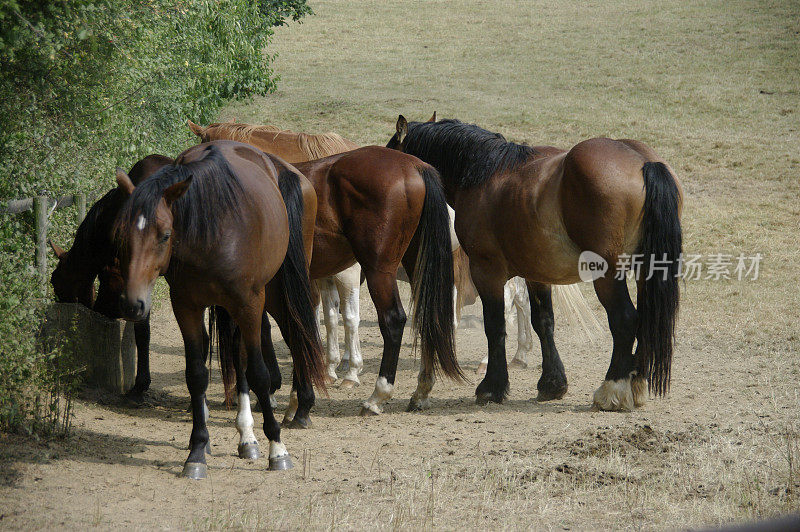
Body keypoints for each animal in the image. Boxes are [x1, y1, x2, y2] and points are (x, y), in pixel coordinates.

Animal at [111, 140, 324, 478]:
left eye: (165, 235)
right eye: (121, 235)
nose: (133, 303)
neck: (213, 230)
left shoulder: (249, 304)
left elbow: (259, 374)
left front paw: (277, 449)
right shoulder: (186, 306)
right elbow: (197, 374)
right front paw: (197, 449)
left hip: (277, 291)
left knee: (293, 334)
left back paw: (292, 413)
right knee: (237, 356)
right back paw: (246, 435)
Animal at [388, 115, 680, 412]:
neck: (484, 173)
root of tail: (643, 162)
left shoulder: (486, 271)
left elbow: (495, 325)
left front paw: (491, 387)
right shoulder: (536, 274)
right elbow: (543, 322)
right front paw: (552, 384)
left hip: (606, 274)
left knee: (625, 319)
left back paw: (612, 390)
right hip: (646, 269)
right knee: (647, 318)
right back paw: (637, 383)